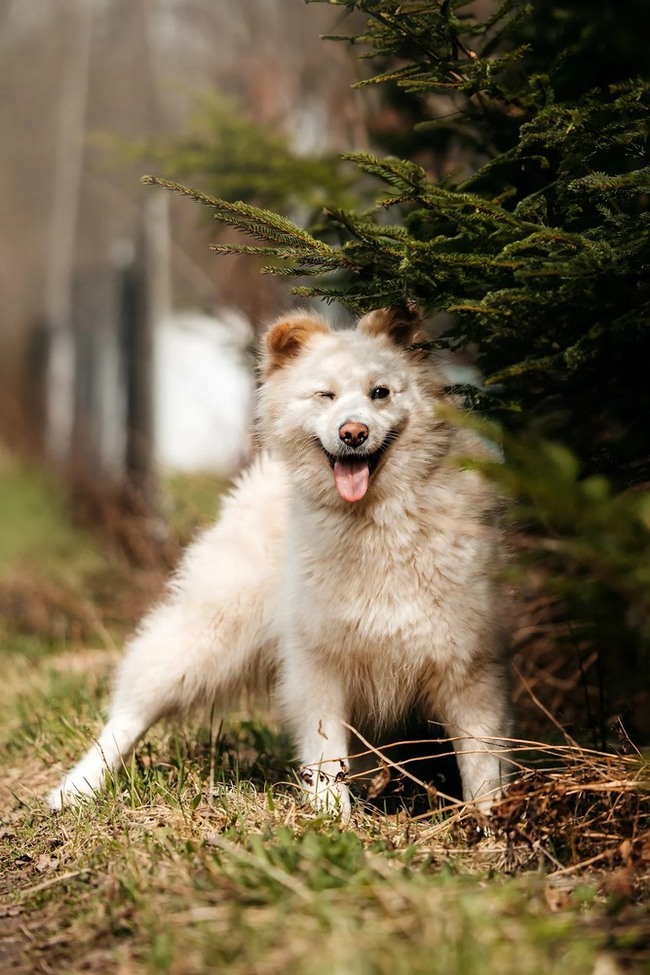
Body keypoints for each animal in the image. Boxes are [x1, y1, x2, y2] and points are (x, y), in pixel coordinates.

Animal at [48, 306, 508, 824]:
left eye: (380, 393)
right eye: (326, 395)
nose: (353, 433)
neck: (377, 523)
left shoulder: (469, 667)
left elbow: (481, 761)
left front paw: (492, 823)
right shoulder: (318, 666)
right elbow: (326, 755)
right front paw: (332, 820)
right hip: (208, 637)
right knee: (133, 707)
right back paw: (75, 789)